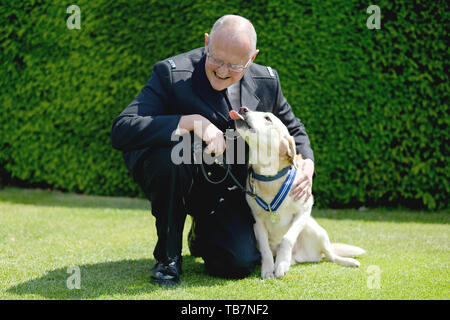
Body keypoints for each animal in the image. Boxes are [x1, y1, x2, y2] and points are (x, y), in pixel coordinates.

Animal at [230, 109, 364, 278]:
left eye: (268, 118)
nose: (242, 109)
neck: (270, 178)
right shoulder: (257, 223)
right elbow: (266, 249)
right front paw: (268, 269)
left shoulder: (304, 212)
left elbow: (287, 238)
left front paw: (281, 263)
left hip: (316, 229)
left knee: (331, 255)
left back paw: (348, 261)